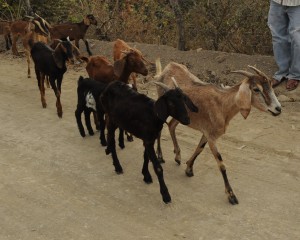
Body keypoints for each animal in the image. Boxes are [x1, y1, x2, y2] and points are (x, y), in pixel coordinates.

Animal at [155, 58, 282, 204]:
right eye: (256, 89)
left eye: (271, 85)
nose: (278, 109)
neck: (222, 105)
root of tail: (168, 67)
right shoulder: (211, 137)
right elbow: (221, 164)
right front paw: (231, 195)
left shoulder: (207, 133)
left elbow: (199, 149)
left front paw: (188, 168)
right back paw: (160, 156)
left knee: (171, 125)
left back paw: (177, 156)